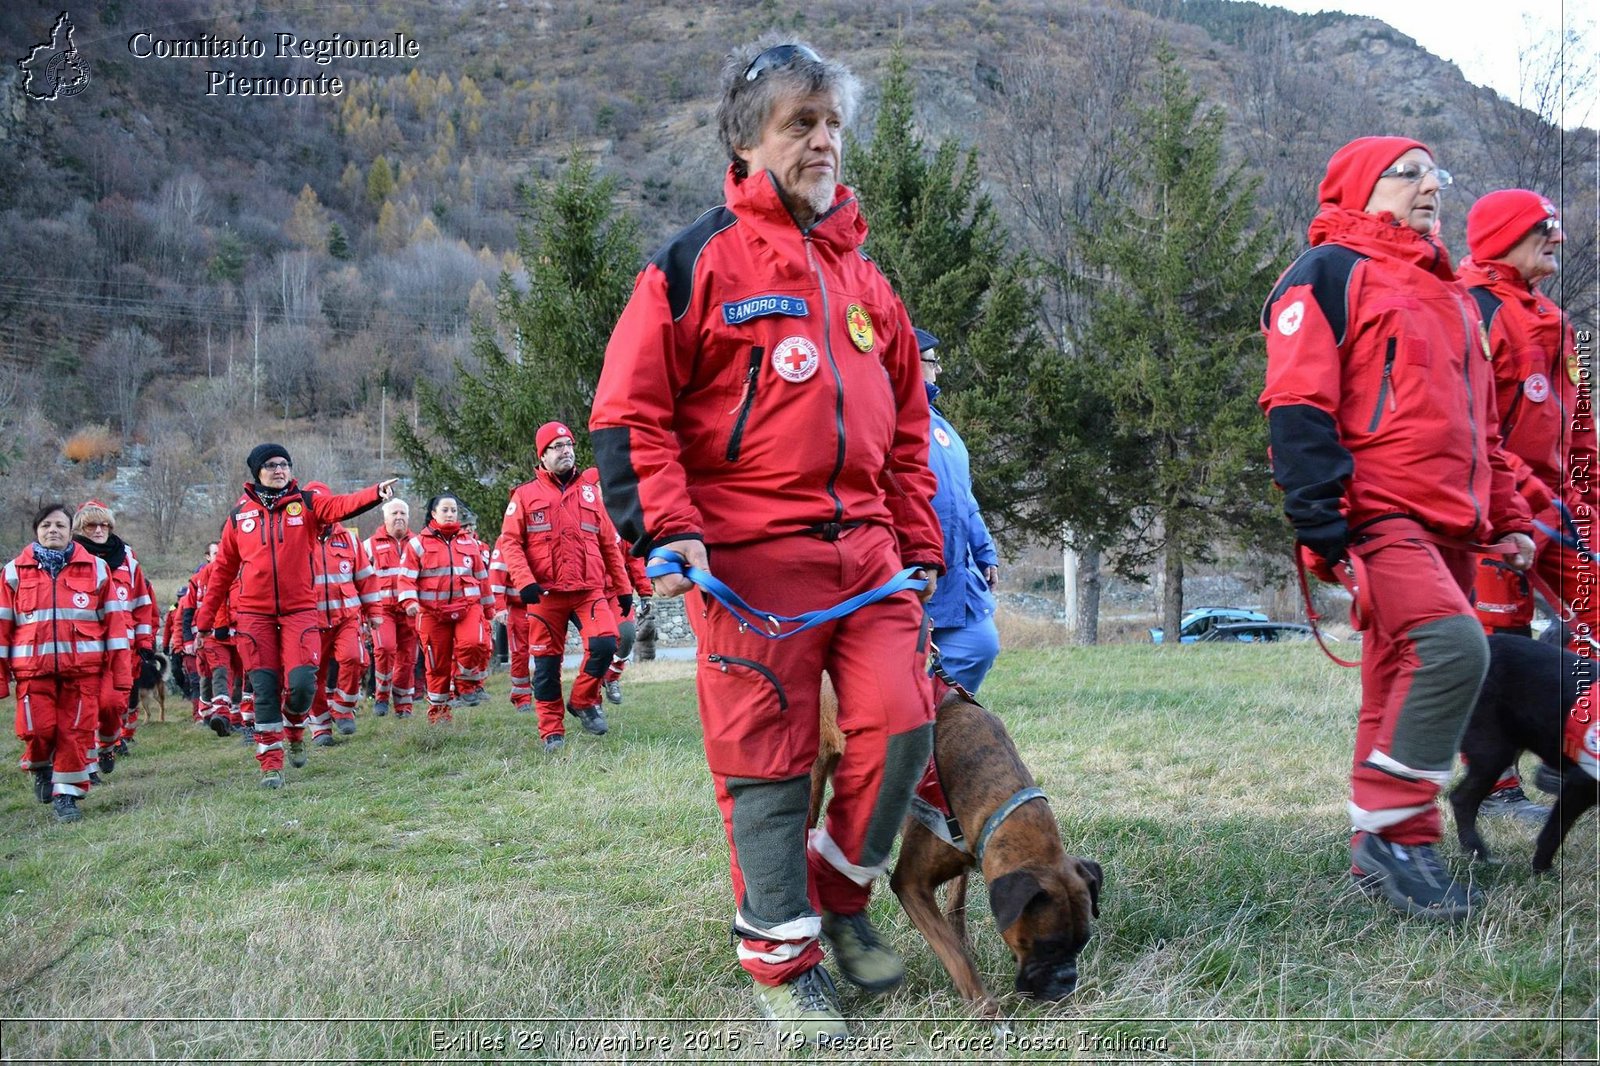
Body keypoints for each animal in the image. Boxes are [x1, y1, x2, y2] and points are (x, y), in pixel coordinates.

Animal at [812, 681, 1100, 1011]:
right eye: (1047, 946)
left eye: (1082, 943)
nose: (1066, 982)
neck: (997, 801)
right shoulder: (911, 884)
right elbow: (953, 954)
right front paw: (985, 1006)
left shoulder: (968, 853)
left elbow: (956, 907)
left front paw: (964, 944)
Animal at [1459, 633, 1593, 870]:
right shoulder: (1580, 783)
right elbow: (1552, 833)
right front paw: (1542, 870)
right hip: (1493, 752)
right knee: (1461, 800)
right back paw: (1478, 852)